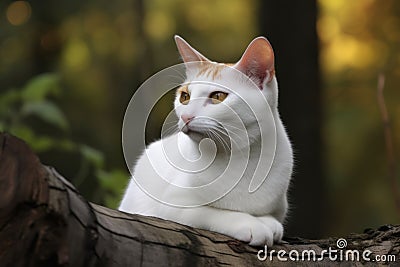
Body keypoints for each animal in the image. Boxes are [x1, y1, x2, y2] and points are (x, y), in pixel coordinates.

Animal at [119, 35, 294, 247]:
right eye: (185, 97)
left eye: (218, 96)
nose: (185, 116)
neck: (241, 157)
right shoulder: (174, 205)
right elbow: (217, 213)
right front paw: (252, 224)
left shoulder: (279, 207)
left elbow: (274, 219)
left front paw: (269, 224)